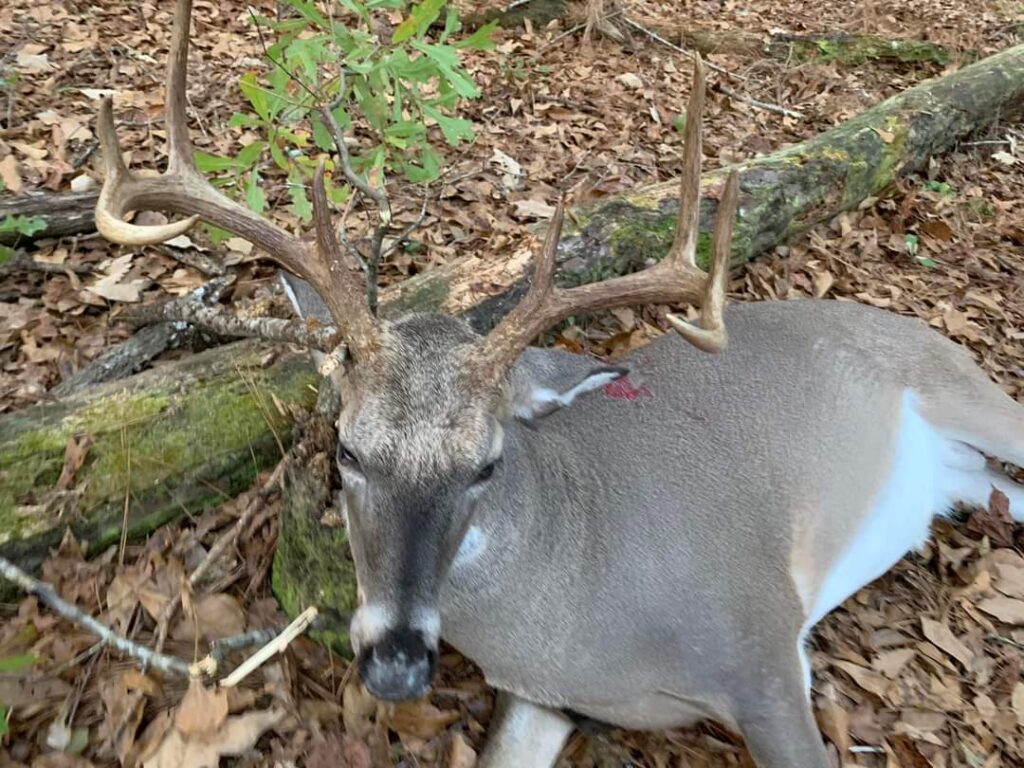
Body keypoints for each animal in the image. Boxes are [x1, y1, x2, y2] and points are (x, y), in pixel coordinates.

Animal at [93, 0, 1024, 765]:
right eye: (346, 451)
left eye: (488, 464)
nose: (396, 666)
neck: (579, 612)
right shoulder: (543, 698)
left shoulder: (763, 650)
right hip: (963, 474)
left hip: (970, 391)